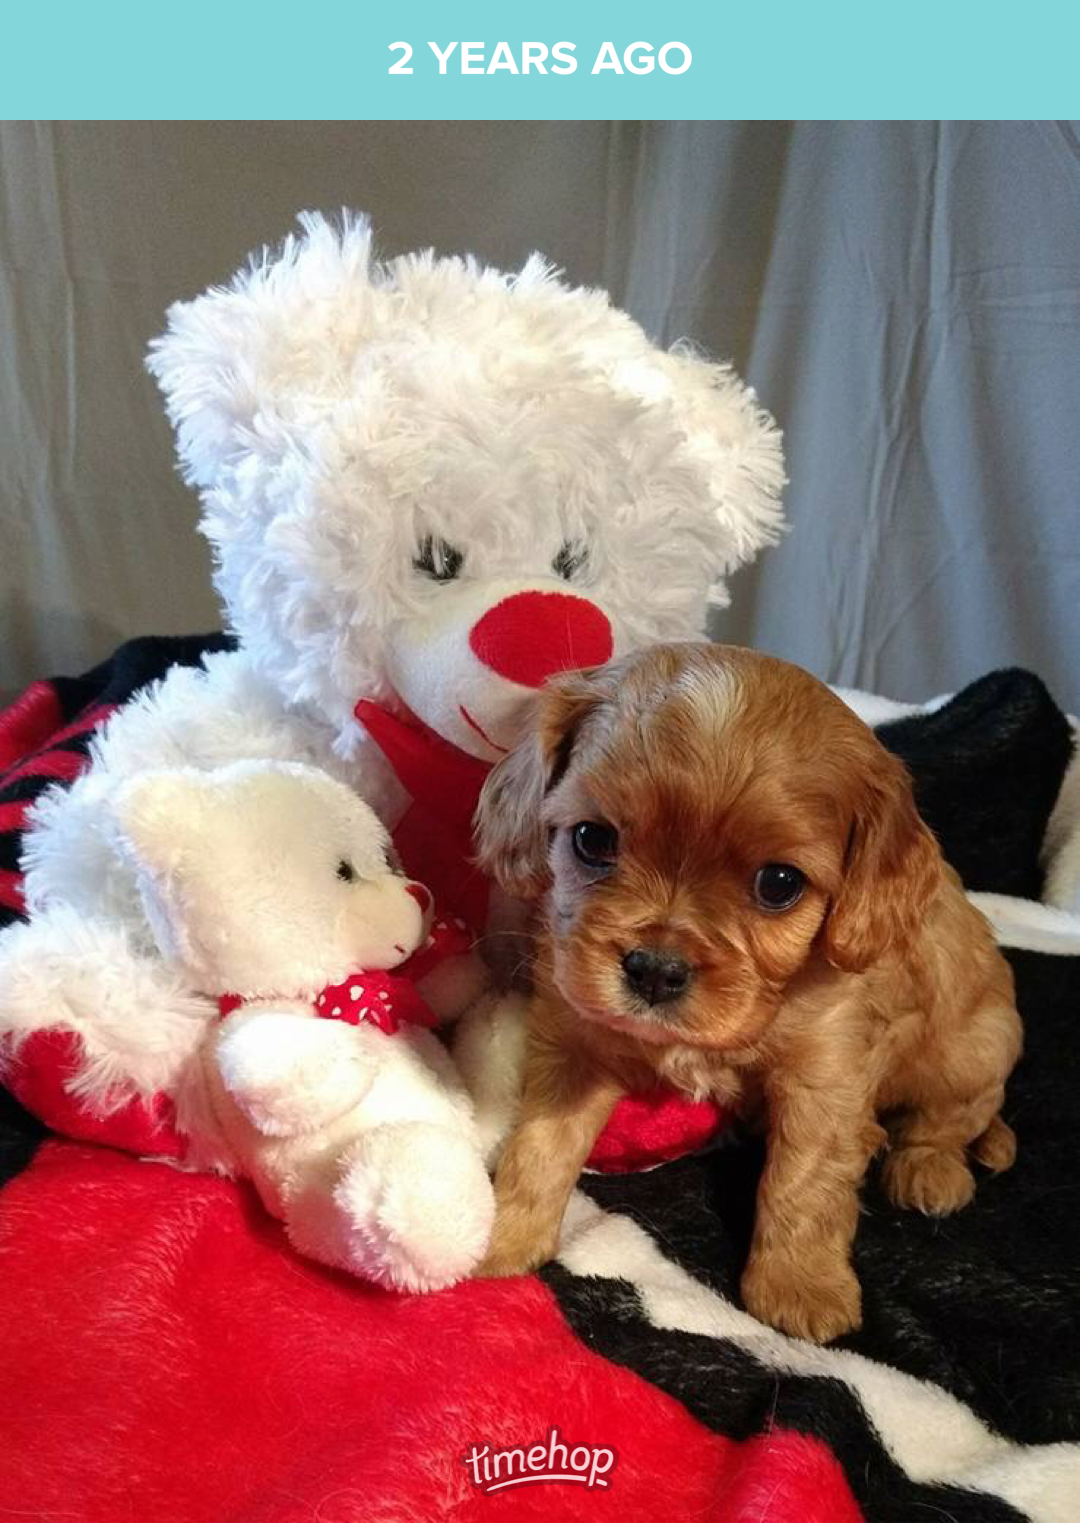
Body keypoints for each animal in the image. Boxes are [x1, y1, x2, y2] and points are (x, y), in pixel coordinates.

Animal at [471, 642, 1022, 1342]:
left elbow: (804, 1180)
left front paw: (800, 1287)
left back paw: (928, 1168)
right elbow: (540, 1147)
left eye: (779, 883)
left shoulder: (825, 1075)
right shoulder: (576, 1042)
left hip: (975, 1046)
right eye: (592, 839)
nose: (655, 970)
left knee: (952, 1117)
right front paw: (501, 1236)